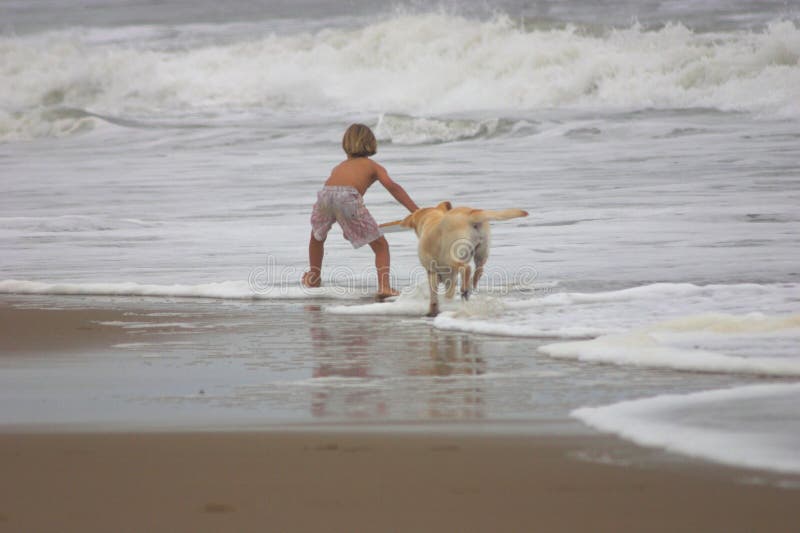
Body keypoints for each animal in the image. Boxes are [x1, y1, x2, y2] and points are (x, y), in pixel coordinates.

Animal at [380, 202, 524, 314]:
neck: (431, 218)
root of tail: (470, 213)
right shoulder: (448, 275)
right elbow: (448, 291)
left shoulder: (432, 271)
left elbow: (434, 296)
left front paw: (433, 309)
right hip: (481, 252)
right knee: (479, 270)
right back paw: (471, 286)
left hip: (451, 256)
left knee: (466, 268)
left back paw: (465, 288)